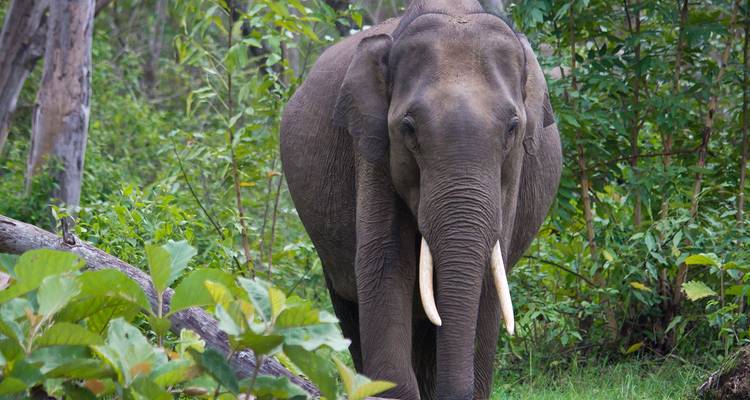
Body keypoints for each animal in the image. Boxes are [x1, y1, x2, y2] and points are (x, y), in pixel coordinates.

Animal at [280, 0, 561, 398]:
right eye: (408, 128)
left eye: (512, 128)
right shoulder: (372, 148)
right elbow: (385, 261)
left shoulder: (514, 170)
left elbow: (490, 273)